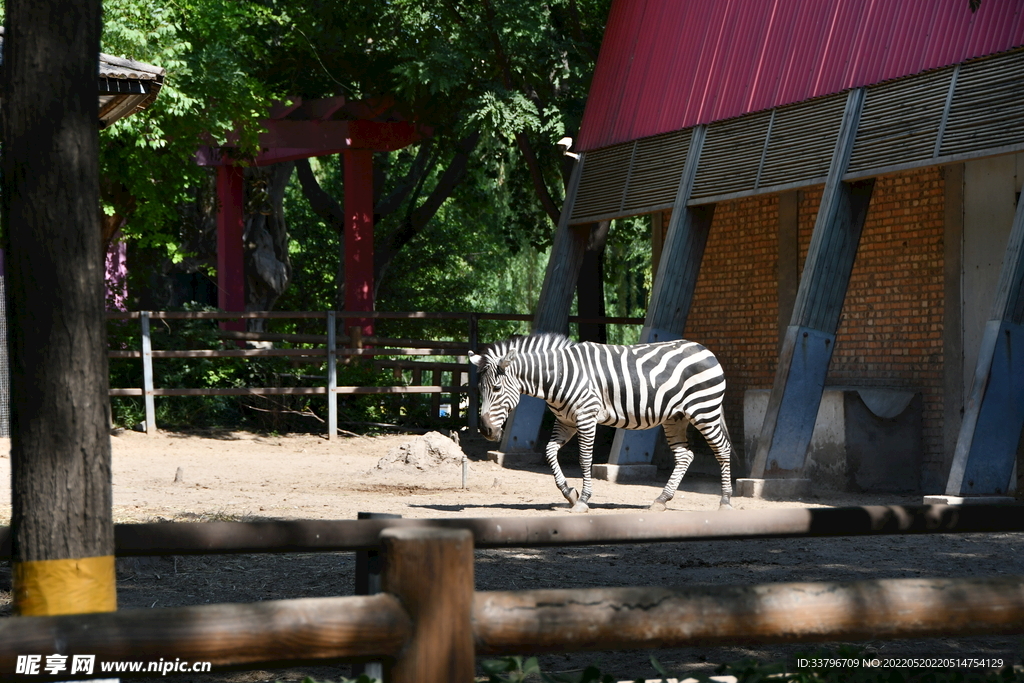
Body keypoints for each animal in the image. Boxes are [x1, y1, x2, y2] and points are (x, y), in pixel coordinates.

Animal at [468, 333, 733, 516]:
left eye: (496, 388)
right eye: (479, 388)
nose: (486, 430)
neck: (558, 376)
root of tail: (704, 349)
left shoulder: (586, 417)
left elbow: (585, 458)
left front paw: (583, 500)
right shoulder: (566, 421)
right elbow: (550, 452)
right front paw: (569, 493)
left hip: (704, 411)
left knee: (723, 450)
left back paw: (726, 501)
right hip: (676, 417)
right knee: (685, 456)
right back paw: (661, 500)